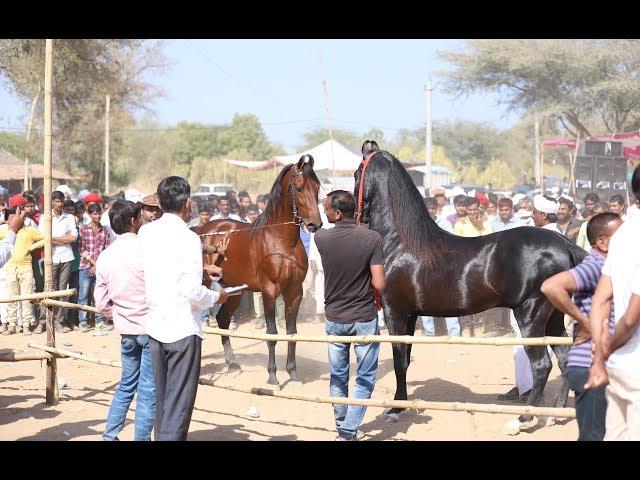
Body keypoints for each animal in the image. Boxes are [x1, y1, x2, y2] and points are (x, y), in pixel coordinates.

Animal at [195, 156, 322, 388]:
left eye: (317, 187)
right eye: (299, 187)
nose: (314, 224)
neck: (280, 240)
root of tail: (200, 231)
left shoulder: (294, 292)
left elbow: (291, 333)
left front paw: (293, 375)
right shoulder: (269, 291)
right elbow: (272, 333)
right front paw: (273, 377)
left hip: (233, 290)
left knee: (223, 319)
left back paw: (232, 363)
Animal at [352, 142, 588, 428]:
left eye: (356, 173)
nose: (354, 212)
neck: (400, 242)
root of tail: (564, 244)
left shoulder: (394, 311)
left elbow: (398, 360)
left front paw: (394, 409)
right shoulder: (410, 315)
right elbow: (405, 360)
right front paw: (402, 403)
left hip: (531, 316)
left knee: (542, 365)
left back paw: (523, 419)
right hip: (553, 318)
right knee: (565, 360)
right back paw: (555, 414)